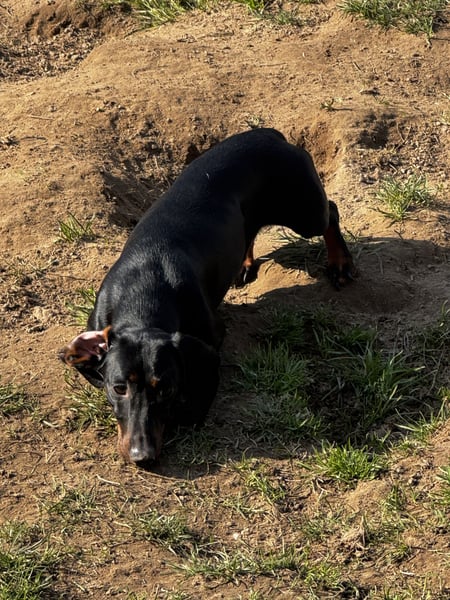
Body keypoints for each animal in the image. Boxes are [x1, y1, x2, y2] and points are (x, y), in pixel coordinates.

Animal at [59, 128, 354, 465]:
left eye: (165, 389)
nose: (142, 456)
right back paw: (246, 265)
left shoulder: (211, 341)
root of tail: (268, 134)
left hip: (304, 212)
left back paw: (340, 263)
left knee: (331, 211)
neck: (143, 292)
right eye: (119, 388)